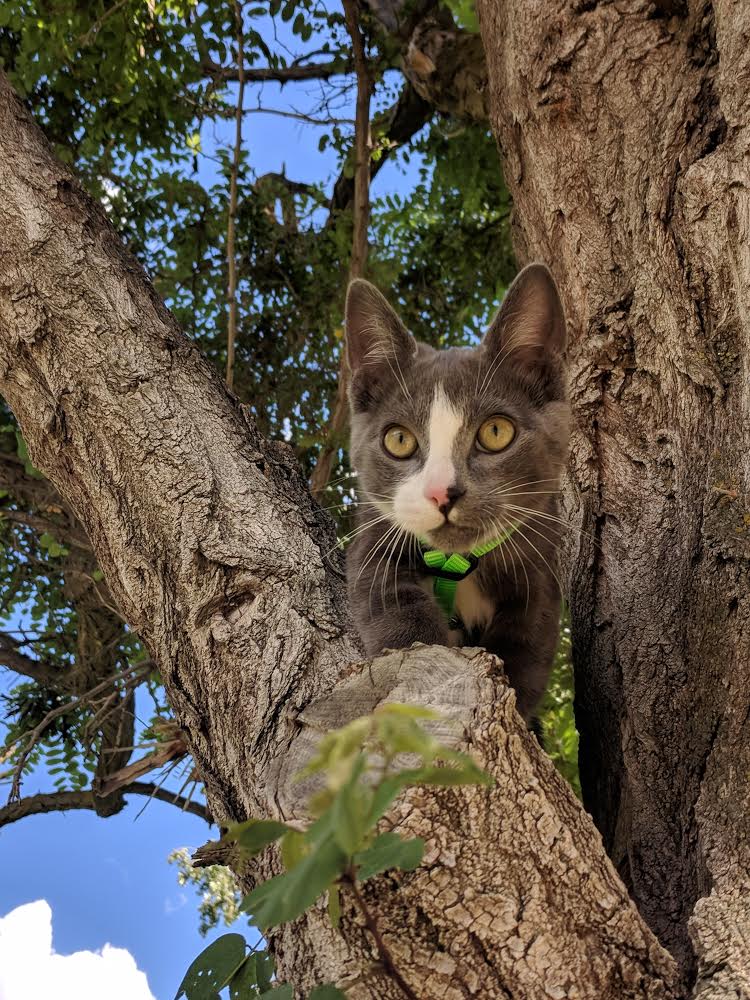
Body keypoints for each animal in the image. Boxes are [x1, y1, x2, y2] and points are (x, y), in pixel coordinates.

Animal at [346, 264, 568, 720]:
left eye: (496, 432)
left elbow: (529, 637)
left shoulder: (540, 555)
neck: (459, 563)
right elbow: (384, 598)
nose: (441, 493)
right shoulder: (374, 532)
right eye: (398, 440)